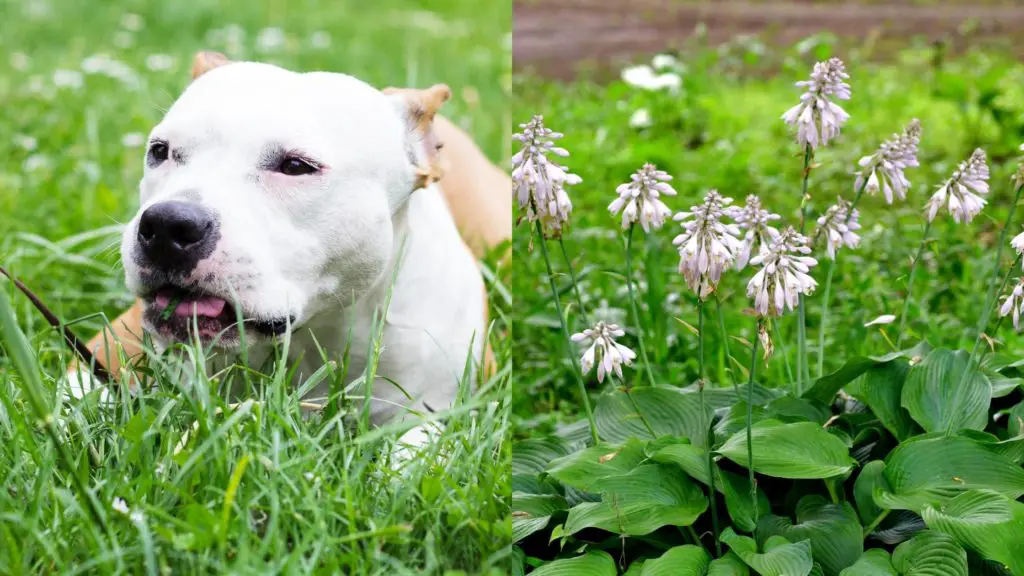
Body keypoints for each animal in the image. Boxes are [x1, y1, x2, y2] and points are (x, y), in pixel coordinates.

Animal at [68, 51, 507, 440]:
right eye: (160, 151)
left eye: (296, 166)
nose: (166, 225)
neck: (316, 330)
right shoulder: (102, 356)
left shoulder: (440, 409)